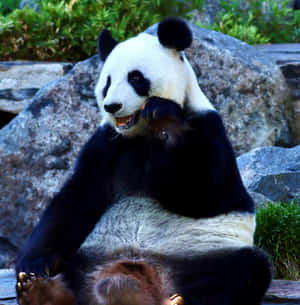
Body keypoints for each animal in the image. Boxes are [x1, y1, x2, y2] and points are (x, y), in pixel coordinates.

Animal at [15, 17, 272, 305]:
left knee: (244, 270)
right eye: (107, 82)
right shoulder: (107, 145)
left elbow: (203, 191)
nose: (111, 106)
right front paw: (34, 265)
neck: (140, 133)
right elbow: (75, 201)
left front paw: (165, 121)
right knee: (74, 275)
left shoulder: (209, 129)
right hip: (89, 256)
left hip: (202, 256)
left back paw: (175, 300)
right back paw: (43, 290)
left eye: (135, 77)